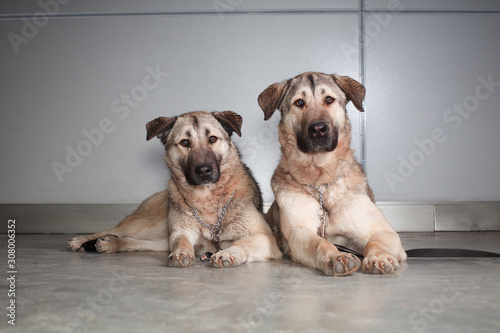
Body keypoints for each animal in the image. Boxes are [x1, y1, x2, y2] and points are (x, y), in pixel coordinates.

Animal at [67, 111, 282, 268]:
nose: (204, 170)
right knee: (114, 229)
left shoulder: (265, 238)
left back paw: (111, 244)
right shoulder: (181, 231)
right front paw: (181, 253)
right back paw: (83, 241)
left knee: (137, 241)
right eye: (184, 142)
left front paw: (228, 253)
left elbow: (240, 242)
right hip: (149, 224)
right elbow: (181, 242)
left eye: (213, 139)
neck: (207, 198)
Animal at [258, 70, 406, 274]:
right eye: (299, 103)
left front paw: (378, 257)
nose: (318, 129)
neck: (321, 183)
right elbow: (320, 243)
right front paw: (335, 256)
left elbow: (375, 243)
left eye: (329, 99)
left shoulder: (383, 231)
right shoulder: (300, 232)